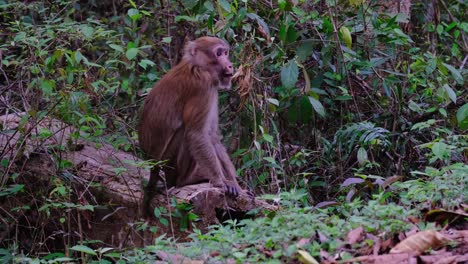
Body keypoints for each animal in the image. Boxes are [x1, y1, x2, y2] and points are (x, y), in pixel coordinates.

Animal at [138, 36, 241, 216]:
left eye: (226, 53)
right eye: (219, 53)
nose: (229, 64)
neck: (197, 65)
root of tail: (152, 164)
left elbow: (212, 136)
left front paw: (233, 181)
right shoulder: (203, 85)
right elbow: (197, 134)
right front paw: (220, 181)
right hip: (169, 163)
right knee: (186, 133)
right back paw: (186, 180)